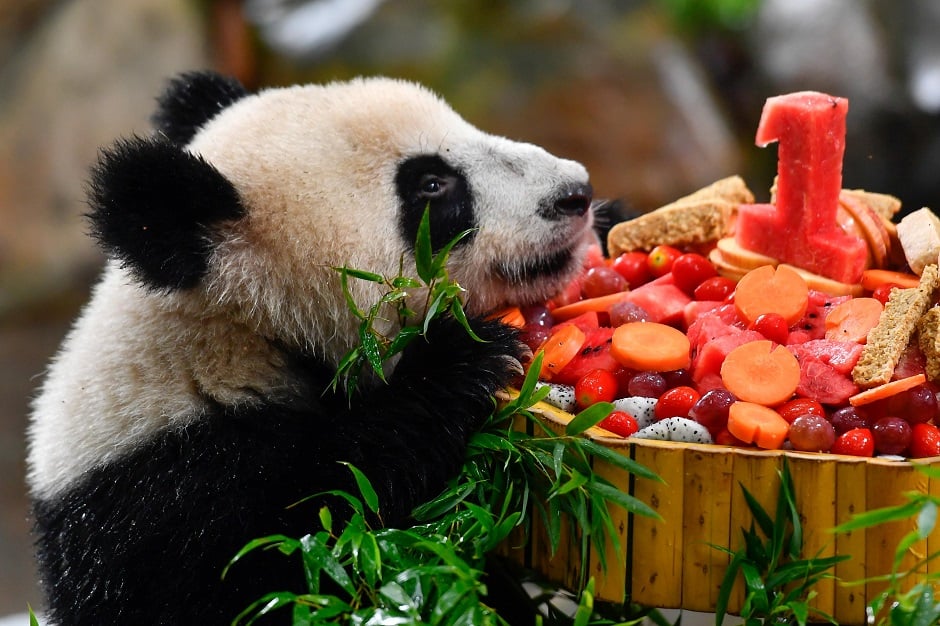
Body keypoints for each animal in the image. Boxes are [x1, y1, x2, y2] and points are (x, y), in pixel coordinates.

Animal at [27, 70, 596, 620]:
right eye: (432, 185)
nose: (576, 193)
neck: (239, 328)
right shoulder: (162, 507)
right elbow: (311, 536)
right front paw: (463, 357)